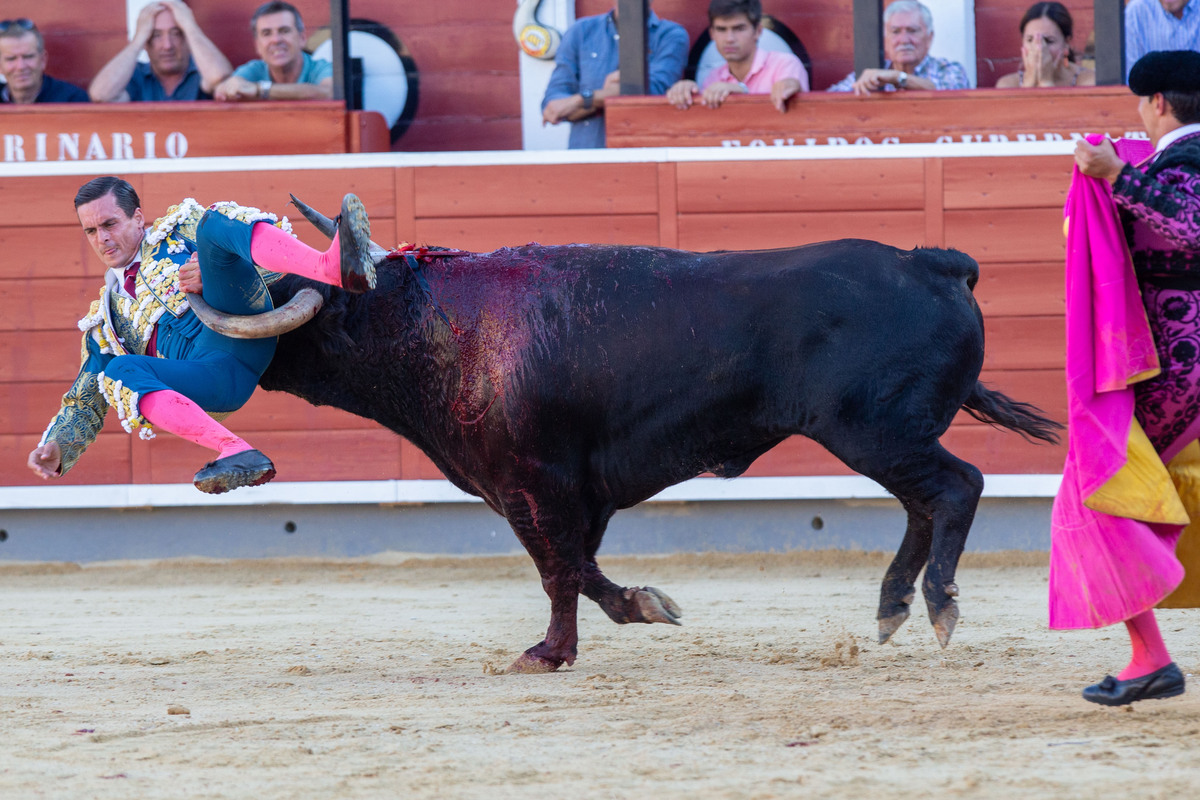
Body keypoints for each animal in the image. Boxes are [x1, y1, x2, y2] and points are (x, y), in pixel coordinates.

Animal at [253, 225, 1060, 676]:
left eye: (278, 291)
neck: (435, 325)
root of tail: (933, 262)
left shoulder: (535, 481)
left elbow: (557, 569)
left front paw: (546, 655)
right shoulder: (569, 491)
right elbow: (579, 567)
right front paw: (643, 606)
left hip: (877, 429)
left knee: (956, 487)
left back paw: (937, 605)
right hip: (888, 435)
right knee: (925, 502)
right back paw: (893, 606)